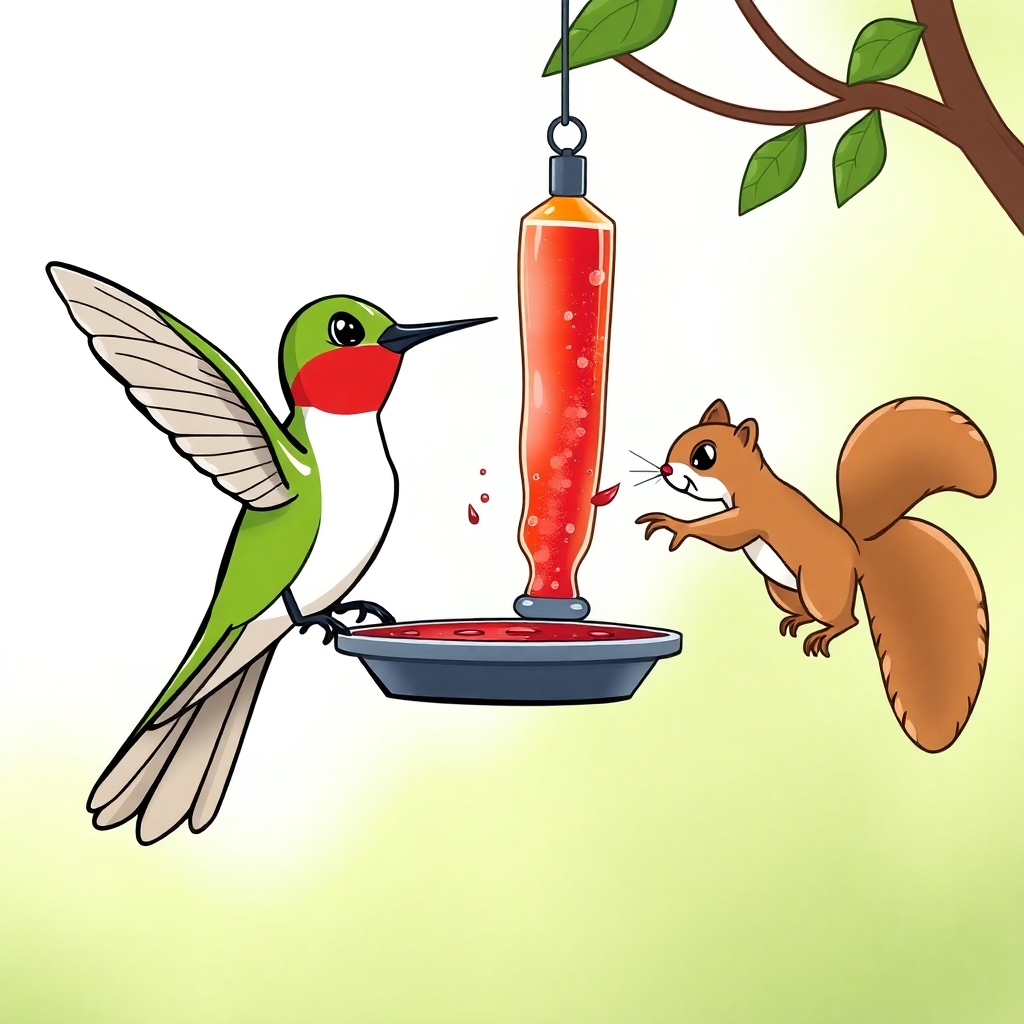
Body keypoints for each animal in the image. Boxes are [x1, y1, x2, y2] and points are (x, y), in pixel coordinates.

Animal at [637, 398, 996, 752]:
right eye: (678, 441)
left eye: (704, 456)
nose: (665, 470)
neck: (747, 482)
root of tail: (855, 553)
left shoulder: (754, 515)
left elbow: (726, 534)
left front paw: (677, 525)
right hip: (780, 588)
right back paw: (799, 620)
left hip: (818, 586)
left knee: (847, 619)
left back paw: (824, 633)